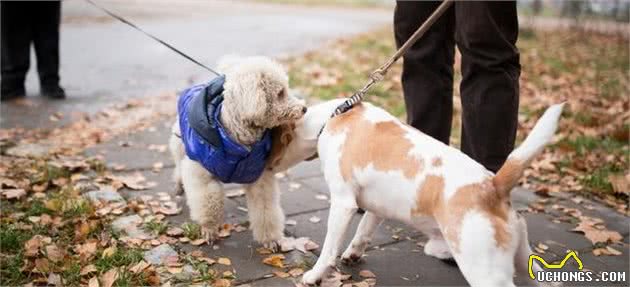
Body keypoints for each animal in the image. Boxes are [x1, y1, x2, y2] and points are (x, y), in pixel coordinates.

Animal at [274, 99, 564, 287]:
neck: (334, 117)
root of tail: (492, 185)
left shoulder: (343, 203)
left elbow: (328, 248)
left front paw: (315, 275)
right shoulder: (376, 208)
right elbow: (363, 231)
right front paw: (353, 254)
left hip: (486, 272)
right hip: (525, 263)